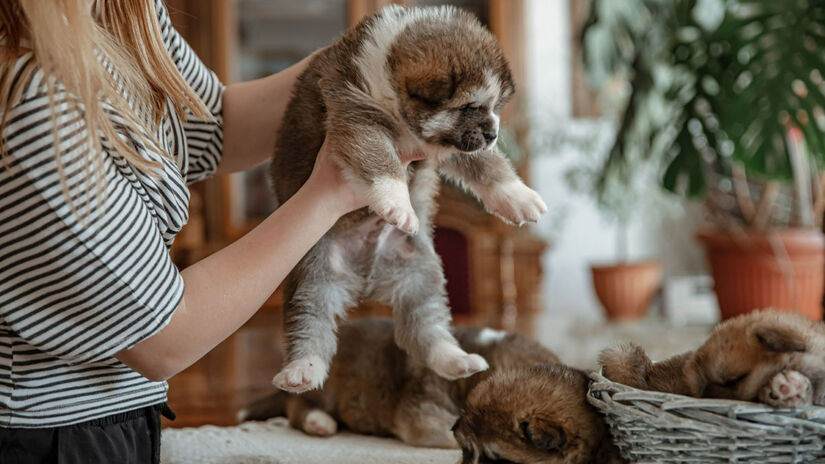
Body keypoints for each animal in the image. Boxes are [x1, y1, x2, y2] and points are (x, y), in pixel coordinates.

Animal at [268, 5, 548, 394]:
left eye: (494, 107)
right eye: (469, 106)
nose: (493, 134)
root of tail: (366, 282)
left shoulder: (450, 146)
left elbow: (488, 165)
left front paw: (520, 198)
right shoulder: (358, 116)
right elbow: (381, 161)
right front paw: (397, 203)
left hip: (421, 273)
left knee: (425, 327)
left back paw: (455, 359)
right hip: (312, 276)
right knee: (310, 322)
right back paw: (302, 370)